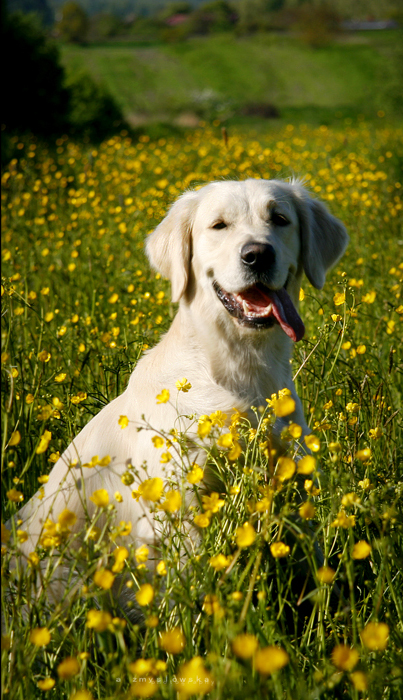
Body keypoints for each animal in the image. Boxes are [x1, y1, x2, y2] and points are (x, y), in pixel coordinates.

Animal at [11, 179, 348, 608]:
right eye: (219, 225)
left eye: (280, 219)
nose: (257, 254)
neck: (242, 373)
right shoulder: (177, 507)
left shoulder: (294, 478)